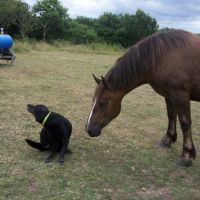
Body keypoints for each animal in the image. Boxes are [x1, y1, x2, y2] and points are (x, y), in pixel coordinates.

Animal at [85, 29, 200, 167]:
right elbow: (171, 115)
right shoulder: (169, 94)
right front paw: (167, 139)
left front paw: (186, 155)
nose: (88, 130)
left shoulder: (180, 94)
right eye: (93, 100)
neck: (163, 56)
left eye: (103, 103)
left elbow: (185, 122)